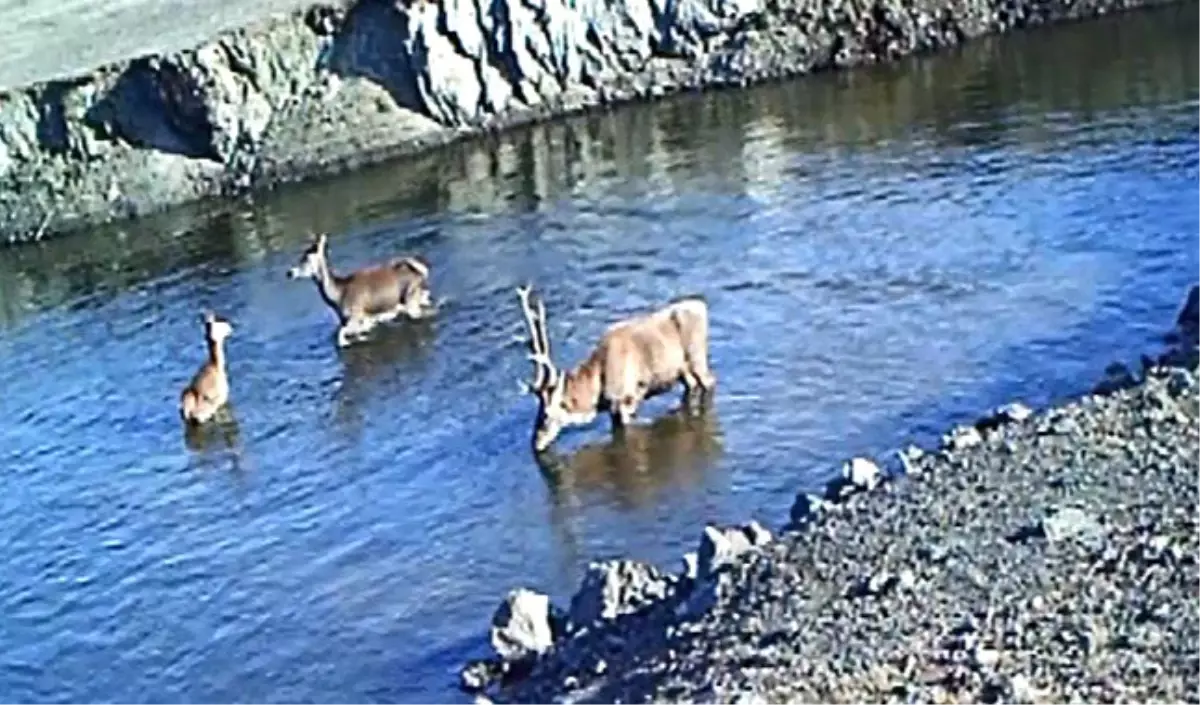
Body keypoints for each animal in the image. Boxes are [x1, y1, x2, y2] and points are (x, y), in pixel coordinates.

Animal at [285, 233, 436, 347]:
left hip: (412, 297)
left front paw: (347, 343)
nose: (289, 273)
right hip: (418, 296)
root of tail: (421, 272)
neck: (337, 296)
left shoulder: (356, 315)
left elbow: (340, 335)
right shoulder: (361, 319)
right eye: (302, 257)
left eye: (306, 259)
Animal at [513, 285, 710, 453]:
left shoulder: (625, 400)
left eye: (546, 414)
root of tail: (702, 305)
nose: (536, 443)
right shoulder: (614, 408)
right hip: (683, 370)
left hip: (697, 357)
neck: (596, 392)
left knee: (709, 381)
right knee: (692, 385)